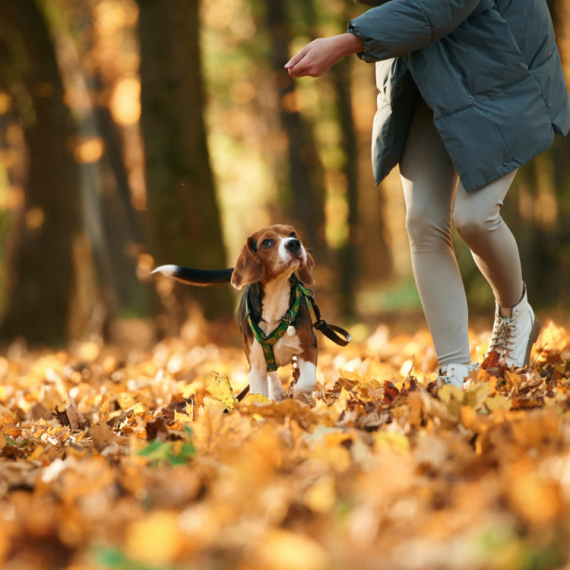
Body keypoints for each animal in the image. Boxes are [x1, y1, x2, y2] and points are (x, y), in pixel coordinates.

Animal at [153, 224, 318, 402]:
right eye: (266, 243)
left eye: (292, 234)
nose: (294, 243)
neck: (276, 299)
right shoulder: (256, 367)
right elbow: (258, 398)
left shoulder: (309, 347)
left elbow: (306, 383)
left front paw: (299, 397)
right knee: (272, 373)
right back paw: (277, 392)